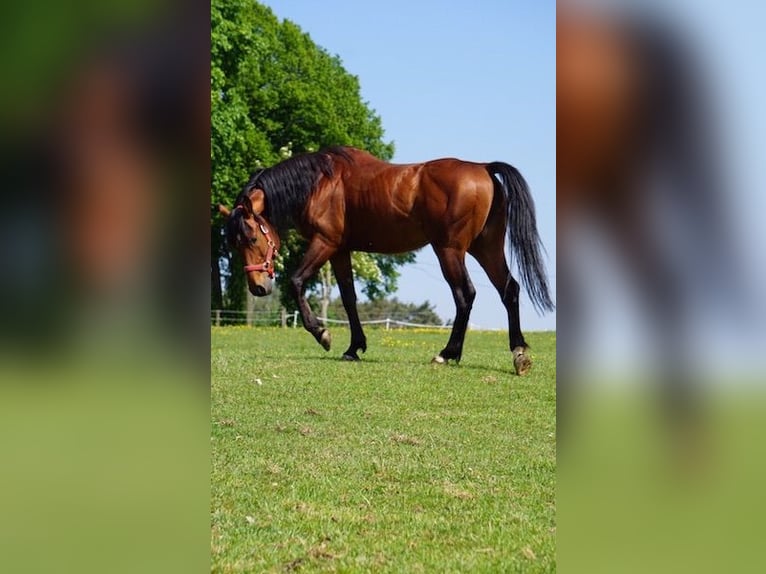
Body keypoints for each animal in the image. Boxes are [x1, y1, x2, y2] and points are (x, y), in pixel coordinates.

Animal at [223, 146, 553, 375]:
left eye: (251, 239)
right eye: (234, 244)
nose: (257, 287)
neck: (320, 183)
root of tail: (484, 169)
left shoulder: (325, 243)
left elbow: (296, 281)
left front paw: (322, 333)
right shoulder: (340, 251)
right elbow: (349, 298)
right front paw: (354, 347)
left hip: (450, 250)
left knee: (465, 295)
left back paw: (447, 353)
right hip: (486, 248)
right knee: (509, 290)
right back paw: (519, 353)